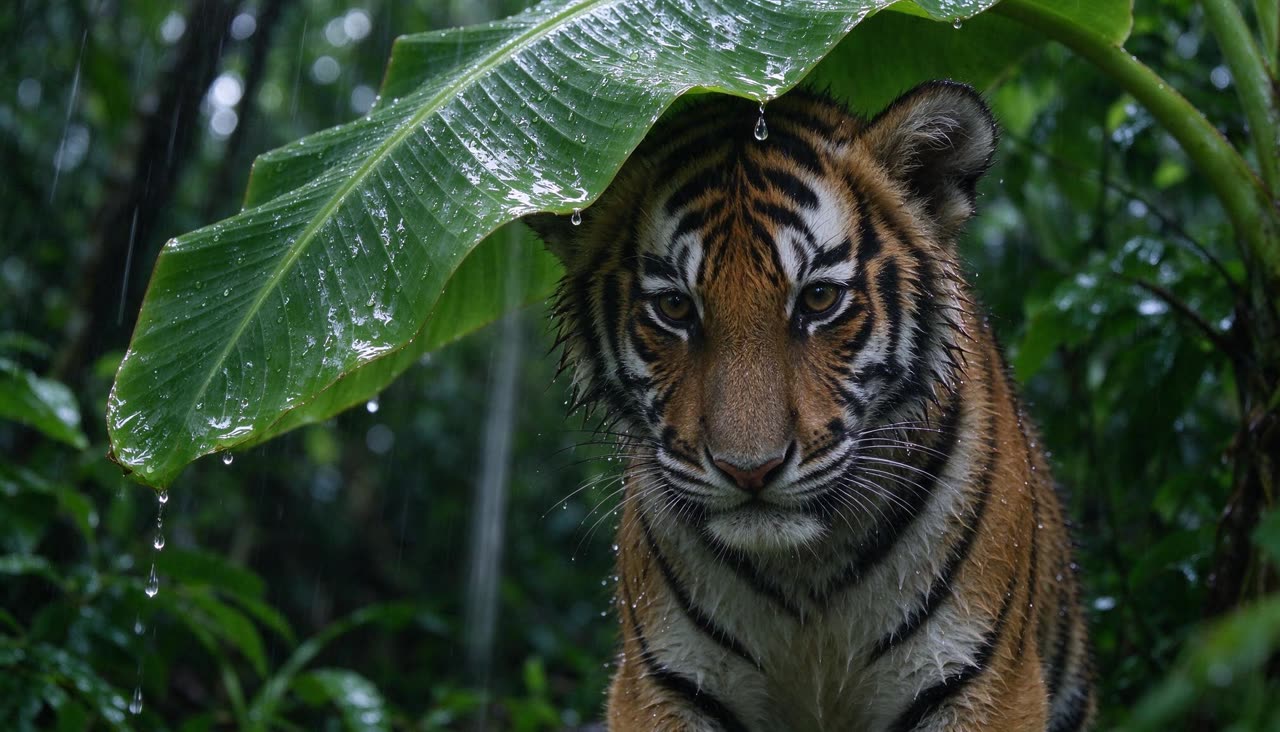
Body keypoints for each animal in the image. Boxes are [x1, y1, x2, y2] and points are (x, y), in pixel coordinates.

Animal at [525, 82, 1094, 732]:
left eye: (819, 298)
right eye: (674, 308)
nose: (750, 470)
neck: (804, 575)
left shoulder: (982, 682)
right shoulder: (660, 686)